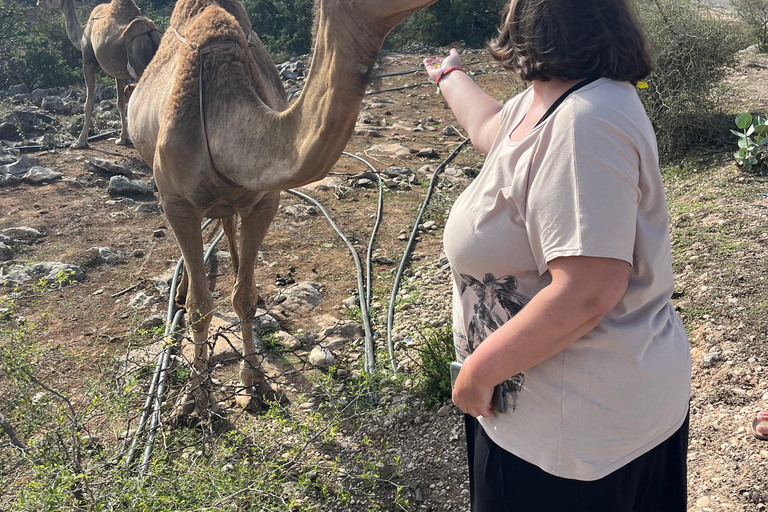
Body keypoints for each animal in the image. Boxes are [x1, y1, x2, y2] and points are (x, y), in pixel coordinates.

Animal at [38, 0, 161, 148]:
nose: (39, 2)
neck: (82, 34)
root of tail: (150, 34)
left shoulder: (88, 61)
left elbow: (88, 104)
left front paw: (80, 142)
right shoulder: (118, 73)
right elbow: (120, 102)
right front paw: (123, 139)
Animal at [129, 0, 436, 416]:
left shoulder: (265, 200)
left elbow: (243, 298)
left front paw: (256, 384)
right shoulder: (176, 202)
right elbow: (200, 307)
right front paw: (194, 401)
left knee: (229, 227)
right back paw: (182, 291)